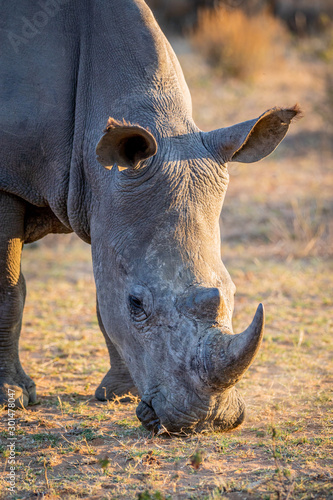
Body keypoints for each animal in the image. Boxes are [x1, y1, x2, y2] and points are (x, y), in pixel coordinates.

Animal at [0, 0, 298, 434]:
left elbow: (103, 293)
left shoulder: (103, 197)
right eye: (136, 304)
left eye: (232, 290)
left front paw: (118, 394)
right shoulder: (7, 182)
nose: (206, 420)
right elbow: (9, 290)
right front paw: (12, 396)